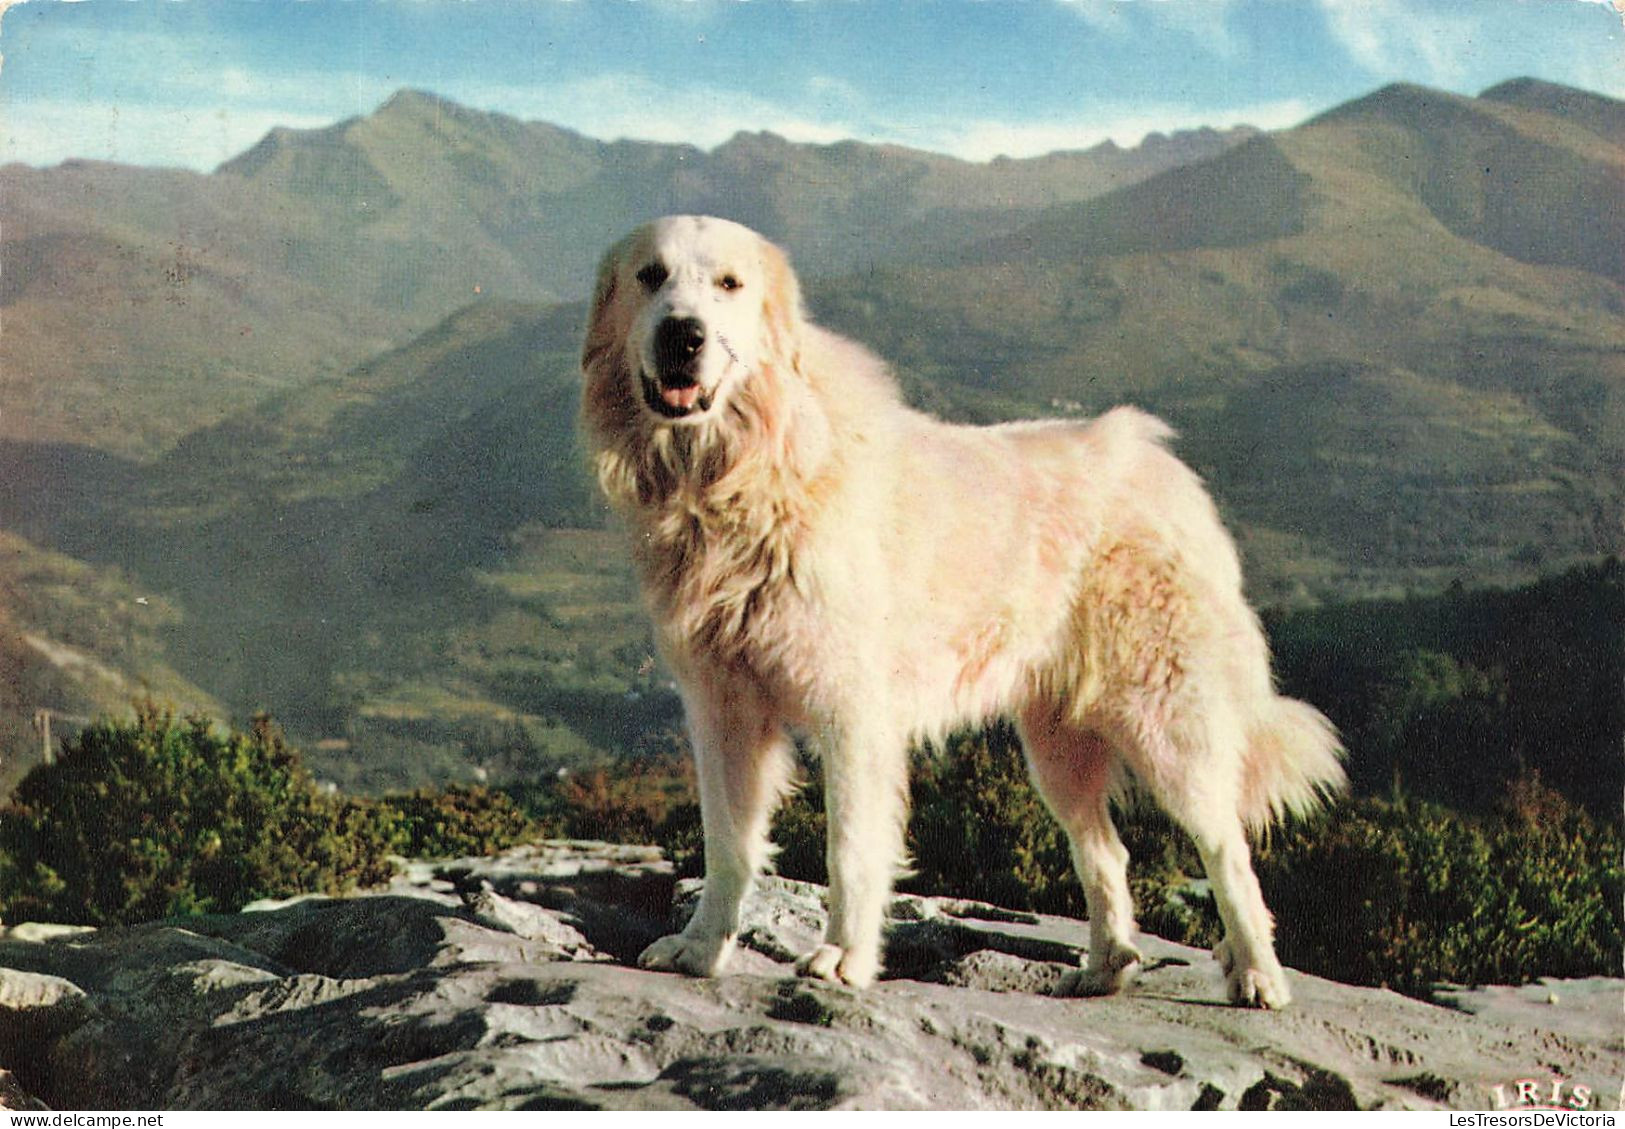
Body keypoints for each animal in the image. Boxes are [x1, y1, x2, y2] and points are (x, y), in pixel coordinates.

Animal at [578, 216, 1339, 1013]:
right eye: (651, 276)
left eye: (729, 284)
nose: (682, 335)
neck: (741, 470)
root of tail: (1160, 462)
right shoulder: (721, 709)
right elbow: (727, 843)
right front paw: (698, 949)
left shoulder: (852, 714)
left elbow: (850, 848)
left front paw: (844, 958)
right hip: (1056, 747)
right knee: (1104, 849)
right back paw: (1104, 967)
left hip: (1164, 721)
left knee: (1226, 846)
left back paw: (1257, 974)